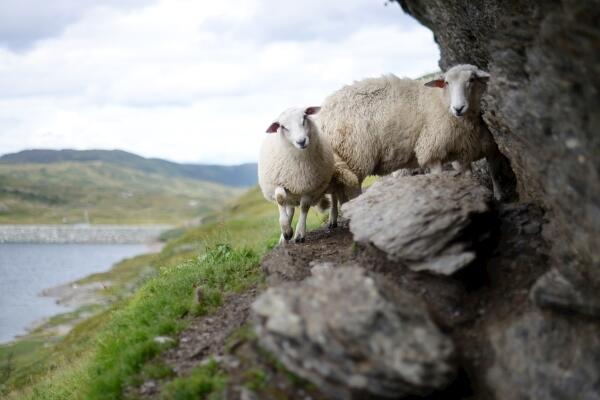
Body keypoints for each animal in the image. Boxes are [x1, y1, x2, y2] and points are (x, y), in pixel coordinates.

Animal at [318, 65, 506, 202]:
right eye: (446, 82)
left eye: (472, 79)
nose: (458, 108)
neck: (443, 101)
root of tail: (323, 114)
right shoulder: (431, 148)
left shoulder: (466, 151)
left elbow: (482, 176)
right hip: (354, 157)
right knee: (351, 192)